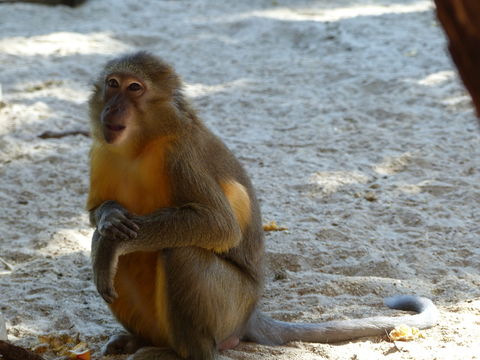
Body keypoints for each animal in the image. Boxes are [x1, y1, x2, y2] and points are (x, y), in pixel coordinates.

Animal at [86, 52, 438, 358]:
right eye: (113, 84)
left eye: (134, 88)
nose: (113, 108)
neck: (140, 144)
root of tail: (250, 315)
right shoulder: (101, 150)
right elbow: (96, 217)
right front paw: (109, 216)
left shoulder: (179, 155)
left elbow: (218, 225)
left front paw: (111, 241)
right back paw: (141, 340)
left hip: (231, 307)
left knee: (181, 252)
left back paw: (190, 352)